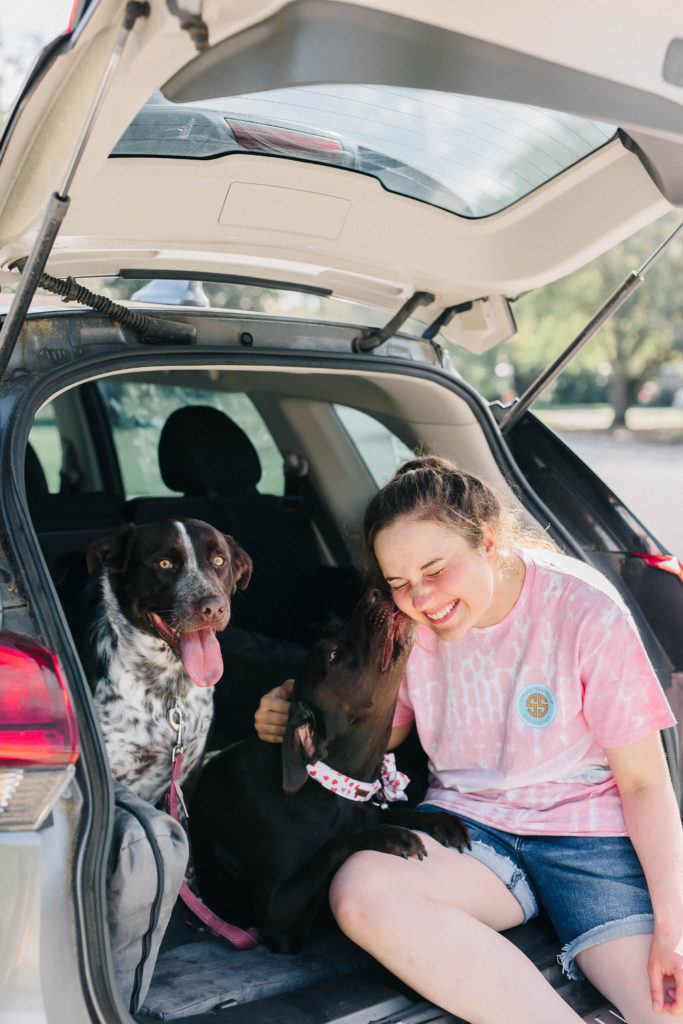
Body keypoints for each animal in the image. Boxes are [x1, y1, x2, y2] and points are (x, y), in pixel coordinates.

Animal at [191, 589, 471, 954]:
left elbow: (397, 812)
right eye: (334, 656)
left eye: (334, 631)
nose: (374, 593)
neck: (333, 787)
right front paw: (389, 837)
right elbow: (334, 846)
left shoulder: (371, 807)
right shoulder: (274, 914)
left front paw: (438, 821)